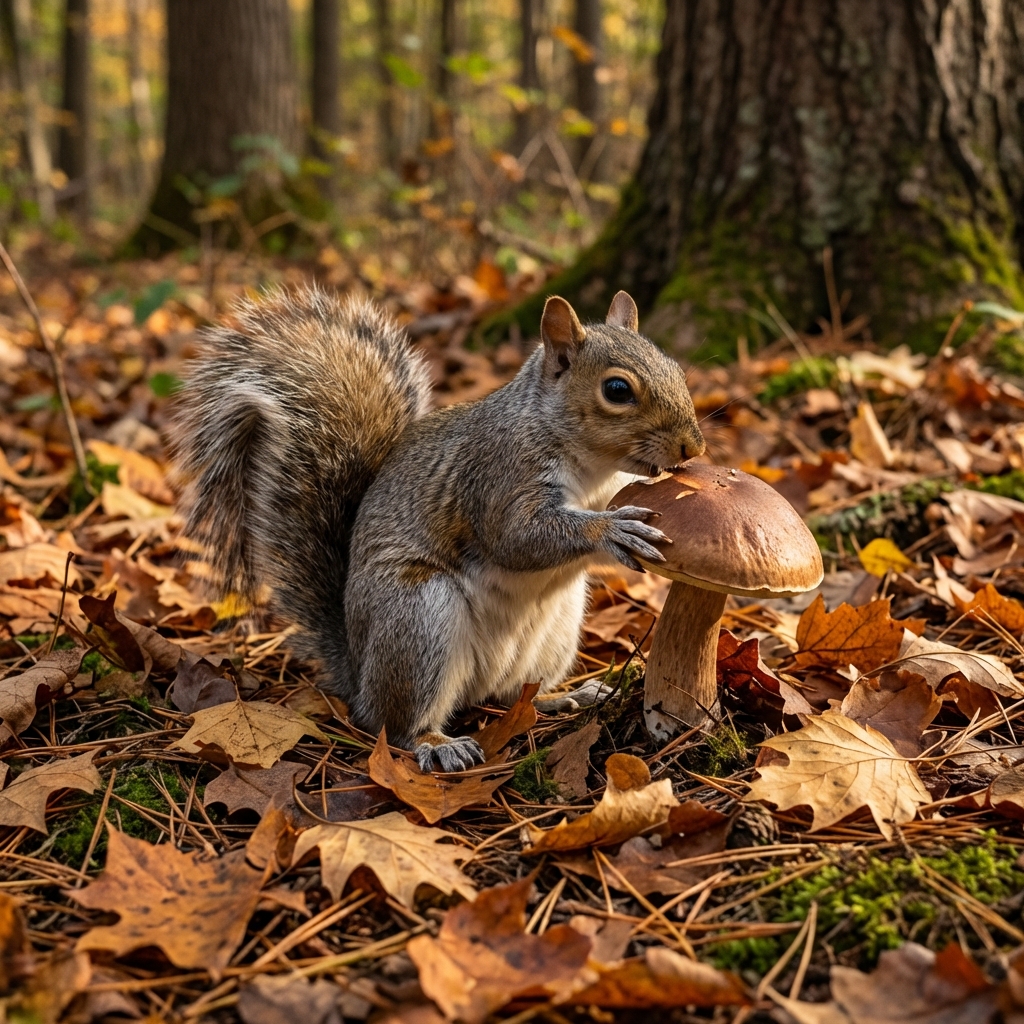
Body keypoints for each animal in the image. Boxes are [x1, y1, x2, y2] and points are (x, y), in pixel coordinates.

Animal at [171, 285, 705, 771]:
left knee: (511, 696)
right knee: (394, 723)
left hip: (557, 629)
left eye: (676, 368)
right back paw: (436, 743)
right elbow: (518, 539)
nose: (693, 447)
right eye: (617, 390)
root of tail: (357, 673)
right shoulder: (498, 478)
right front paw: (613, 532)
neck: (594, 467)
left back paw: (560, 697)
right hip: (418, 618)